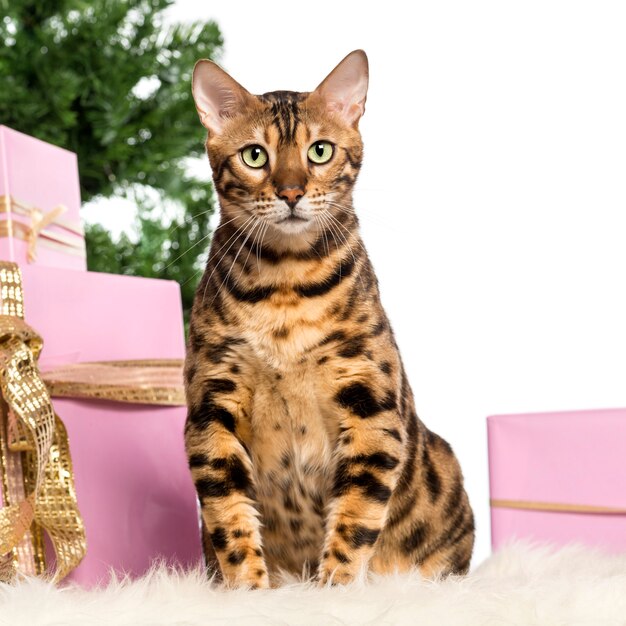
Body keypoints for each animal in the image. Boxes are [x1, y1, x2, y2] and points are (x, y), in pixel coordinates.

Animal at [184, 48, 472, 584]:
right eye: (254, 155)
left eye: (319, 151)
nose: (291, 191)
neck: (285, 289)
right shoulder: (210, 407)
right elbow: (229, 519)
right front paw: (249, 590)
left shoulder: (371, 407)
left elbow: (355, 520)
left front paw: (333, 589)